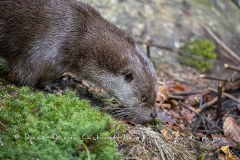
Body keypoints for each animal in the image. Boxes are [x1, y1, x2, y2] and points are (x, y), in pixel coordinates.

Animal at [0, 0, 158, 123]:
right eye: (144, 98)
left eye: (155, 96)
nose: (154, 114)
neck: (80, 36)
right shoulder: (45, 52)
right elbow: (30, 75)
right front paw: (55, 86)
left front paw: (67, 79)